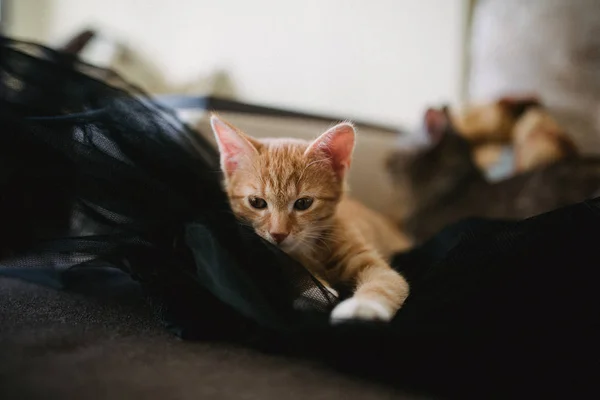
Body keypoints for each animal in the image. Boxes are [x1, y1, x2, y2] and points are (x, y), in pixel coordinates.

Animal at [209, 114, 410, 324]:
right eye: (257, 202)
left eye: (303, 203)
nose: (278, 233)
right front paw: (315, 285)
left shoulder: (375, 265)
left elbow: (386, 282)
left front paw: (361, 307)